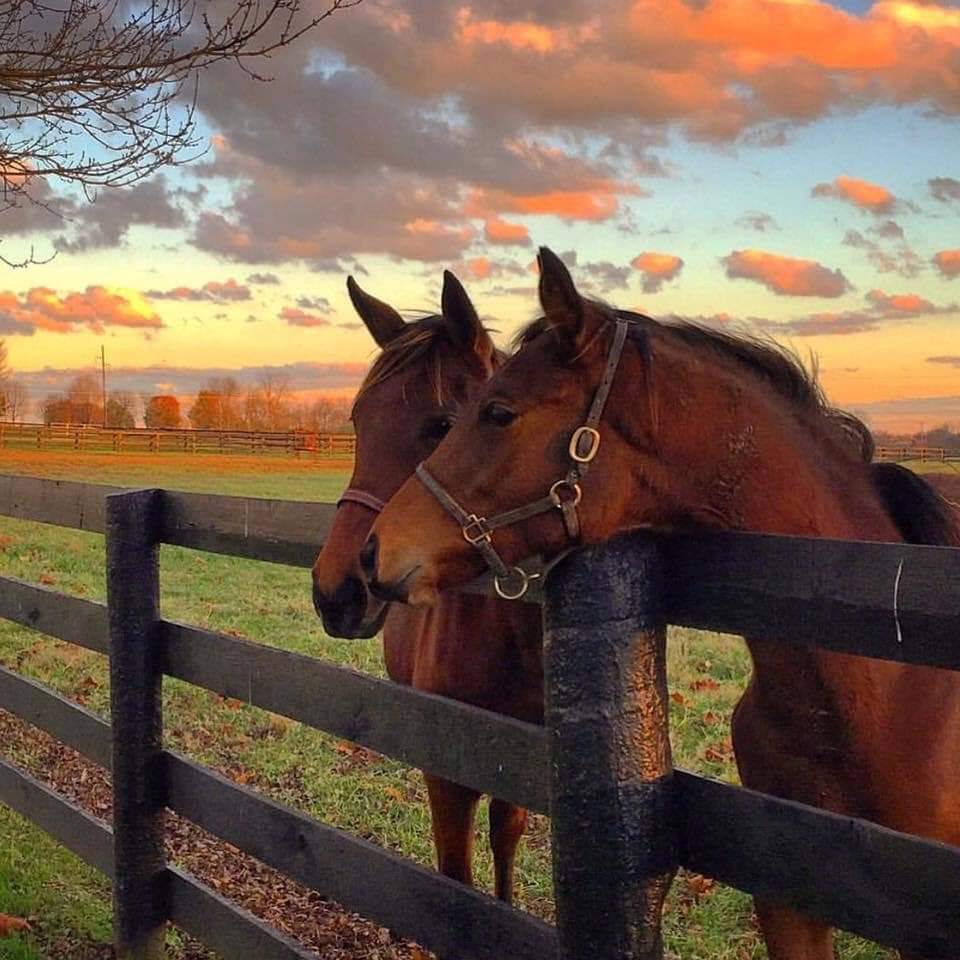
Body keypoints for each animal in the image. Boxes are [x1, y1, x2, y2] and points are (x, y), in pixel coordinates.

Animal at [311, 272, 543, 903]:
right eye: (358, 422)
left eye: (443, 425)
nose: (336, 591)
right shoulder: (447, 778)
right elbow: (454, 877)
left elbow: (506, 838)